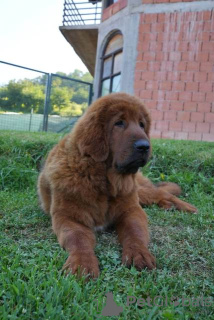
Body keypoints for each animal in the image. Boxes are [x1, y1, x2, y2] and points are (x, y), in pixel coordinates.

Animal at [37, 92, 197, 278]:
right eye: (119, 123)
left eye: (141, 125)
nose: (145, 146)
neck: (103, 182)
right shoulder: (68, 217)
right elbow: (77, 238)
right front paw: (82, 263)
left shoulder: (132, 209)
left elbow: (135, 232)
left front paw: (139, 253)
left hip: (139, 191)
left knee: (163, 192)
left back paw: (187, 207)